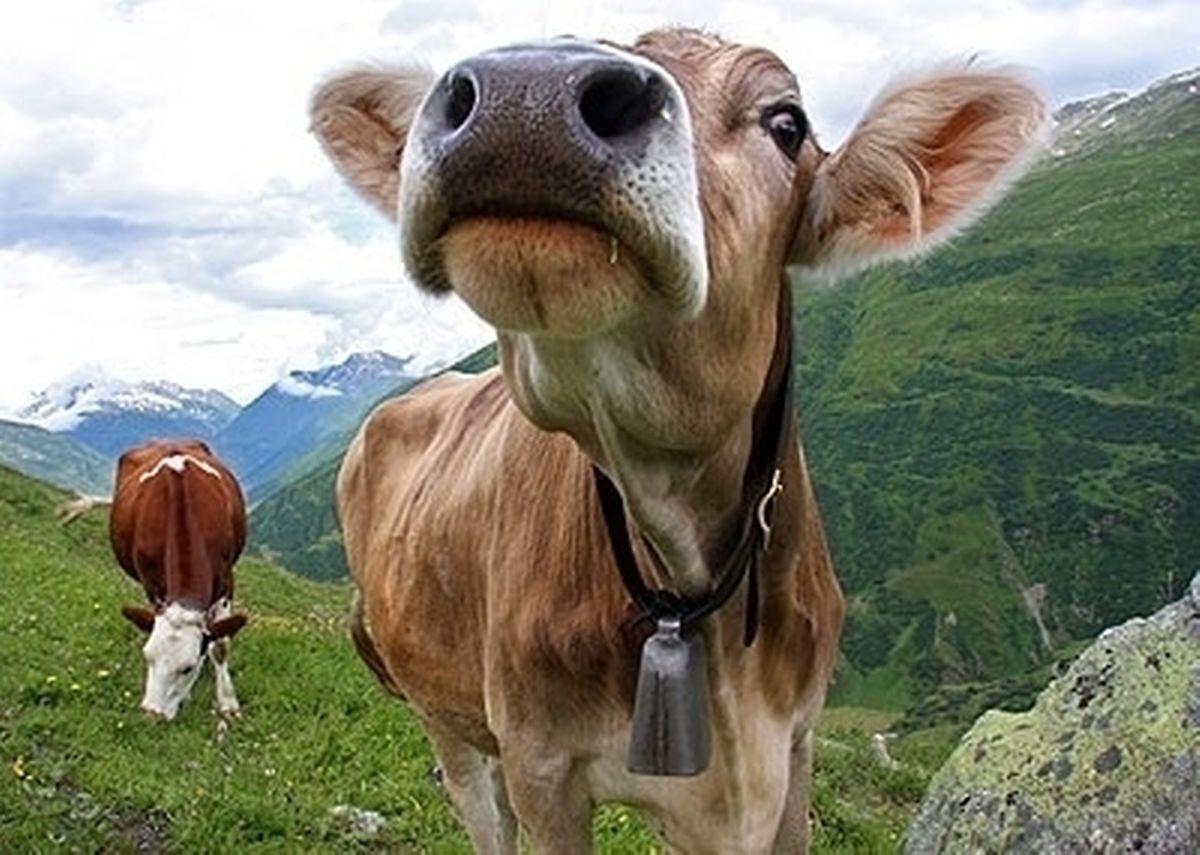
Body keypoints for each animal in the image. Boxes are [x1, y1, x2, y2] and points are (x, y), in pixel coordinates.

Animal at [109, 439, 249, 721]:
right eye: (147, 657)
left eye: (187, 668)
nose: (151, 714)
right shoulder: (152, 584)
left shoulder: (226, 579)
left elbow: (220, 644)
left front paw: (227, 702)